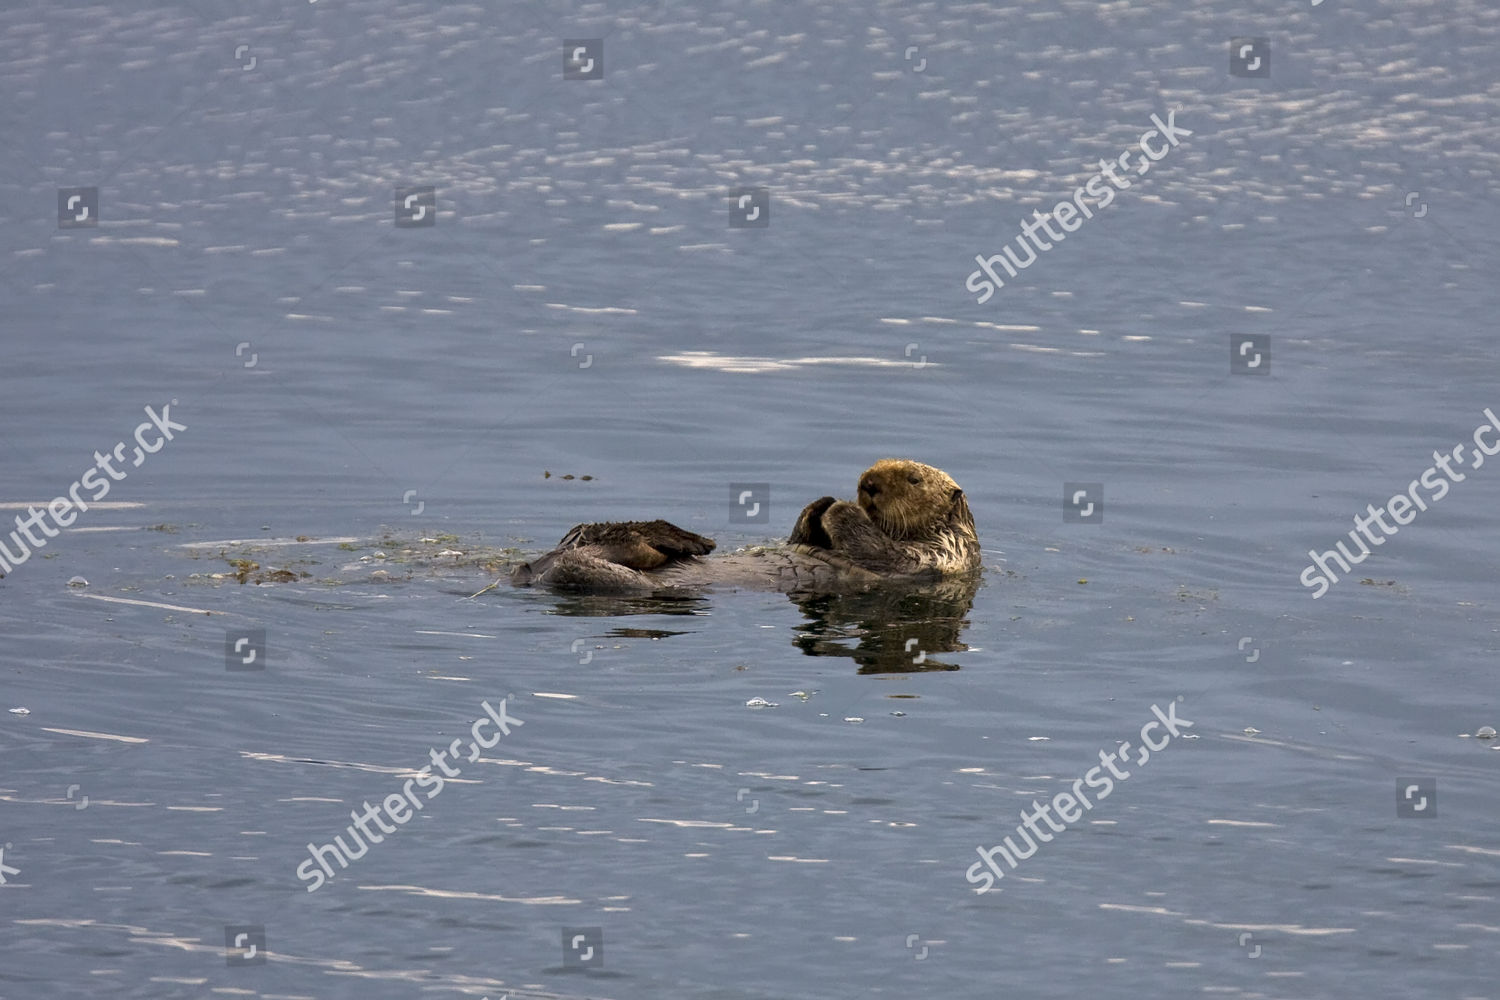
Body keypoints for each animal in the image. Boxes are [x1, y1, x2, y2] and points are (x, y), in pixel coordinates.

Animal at [510, 459, 980, 595]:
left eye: (914, 479)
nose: (867, 484)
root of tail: (532, 573)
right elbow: (801, 537)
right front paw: (820, 505)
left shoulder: (941, 553)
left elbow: (889, 554)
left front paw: (841, 510)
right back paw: (687, 540)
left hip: (611, 577)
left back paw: (684, 542)